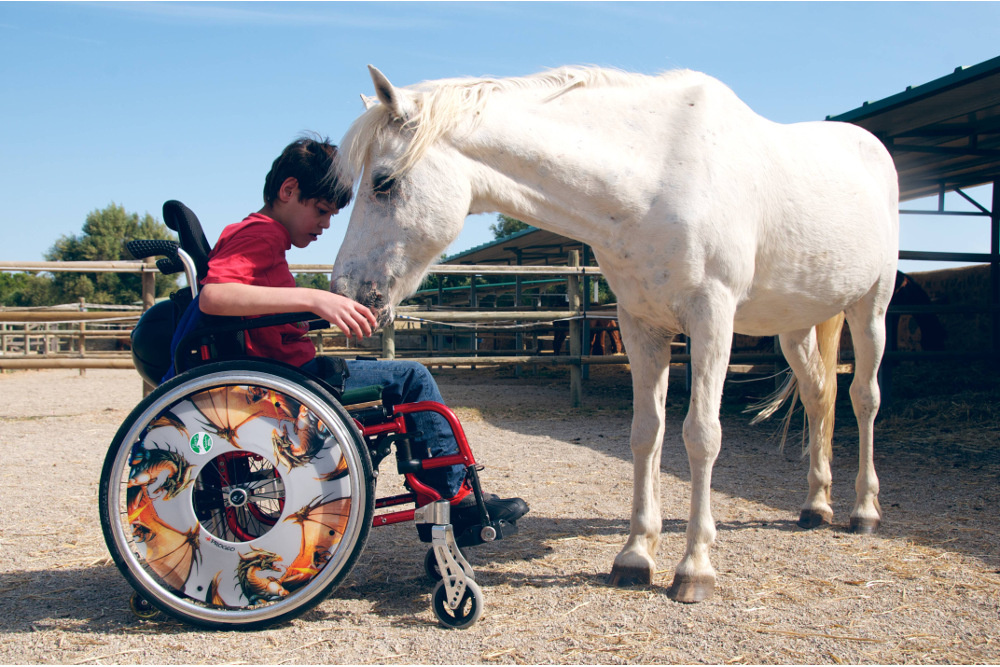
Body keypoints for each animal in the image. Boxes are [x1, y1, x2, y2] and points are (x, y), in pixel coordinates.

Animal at [332, 65, 904, 604]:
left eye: (383, 181)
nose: (346, 291)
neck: (658, 176)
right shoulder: (640, 323)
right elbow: (646, 432)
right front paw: (635, 556)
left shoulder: (711, 318)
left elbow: (701, 435)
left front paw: (694, 568)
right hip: (796, 324)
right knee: (819, 397)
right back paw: (815, 505)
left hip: (870, 308)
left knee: (864, 398)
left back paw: (864, 511)